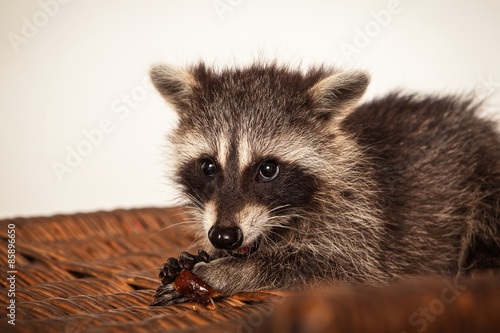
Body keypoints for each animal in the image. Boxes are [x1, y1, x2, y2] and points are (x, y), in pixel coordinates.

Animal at [150, 61, 500, 304]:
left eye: (268, 169)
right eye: (208, 166)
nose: (224, 236)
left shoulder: (361, 231)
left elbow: (324, 269)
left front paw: (224, 274)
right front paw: (201, 256)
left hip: (488, 172)